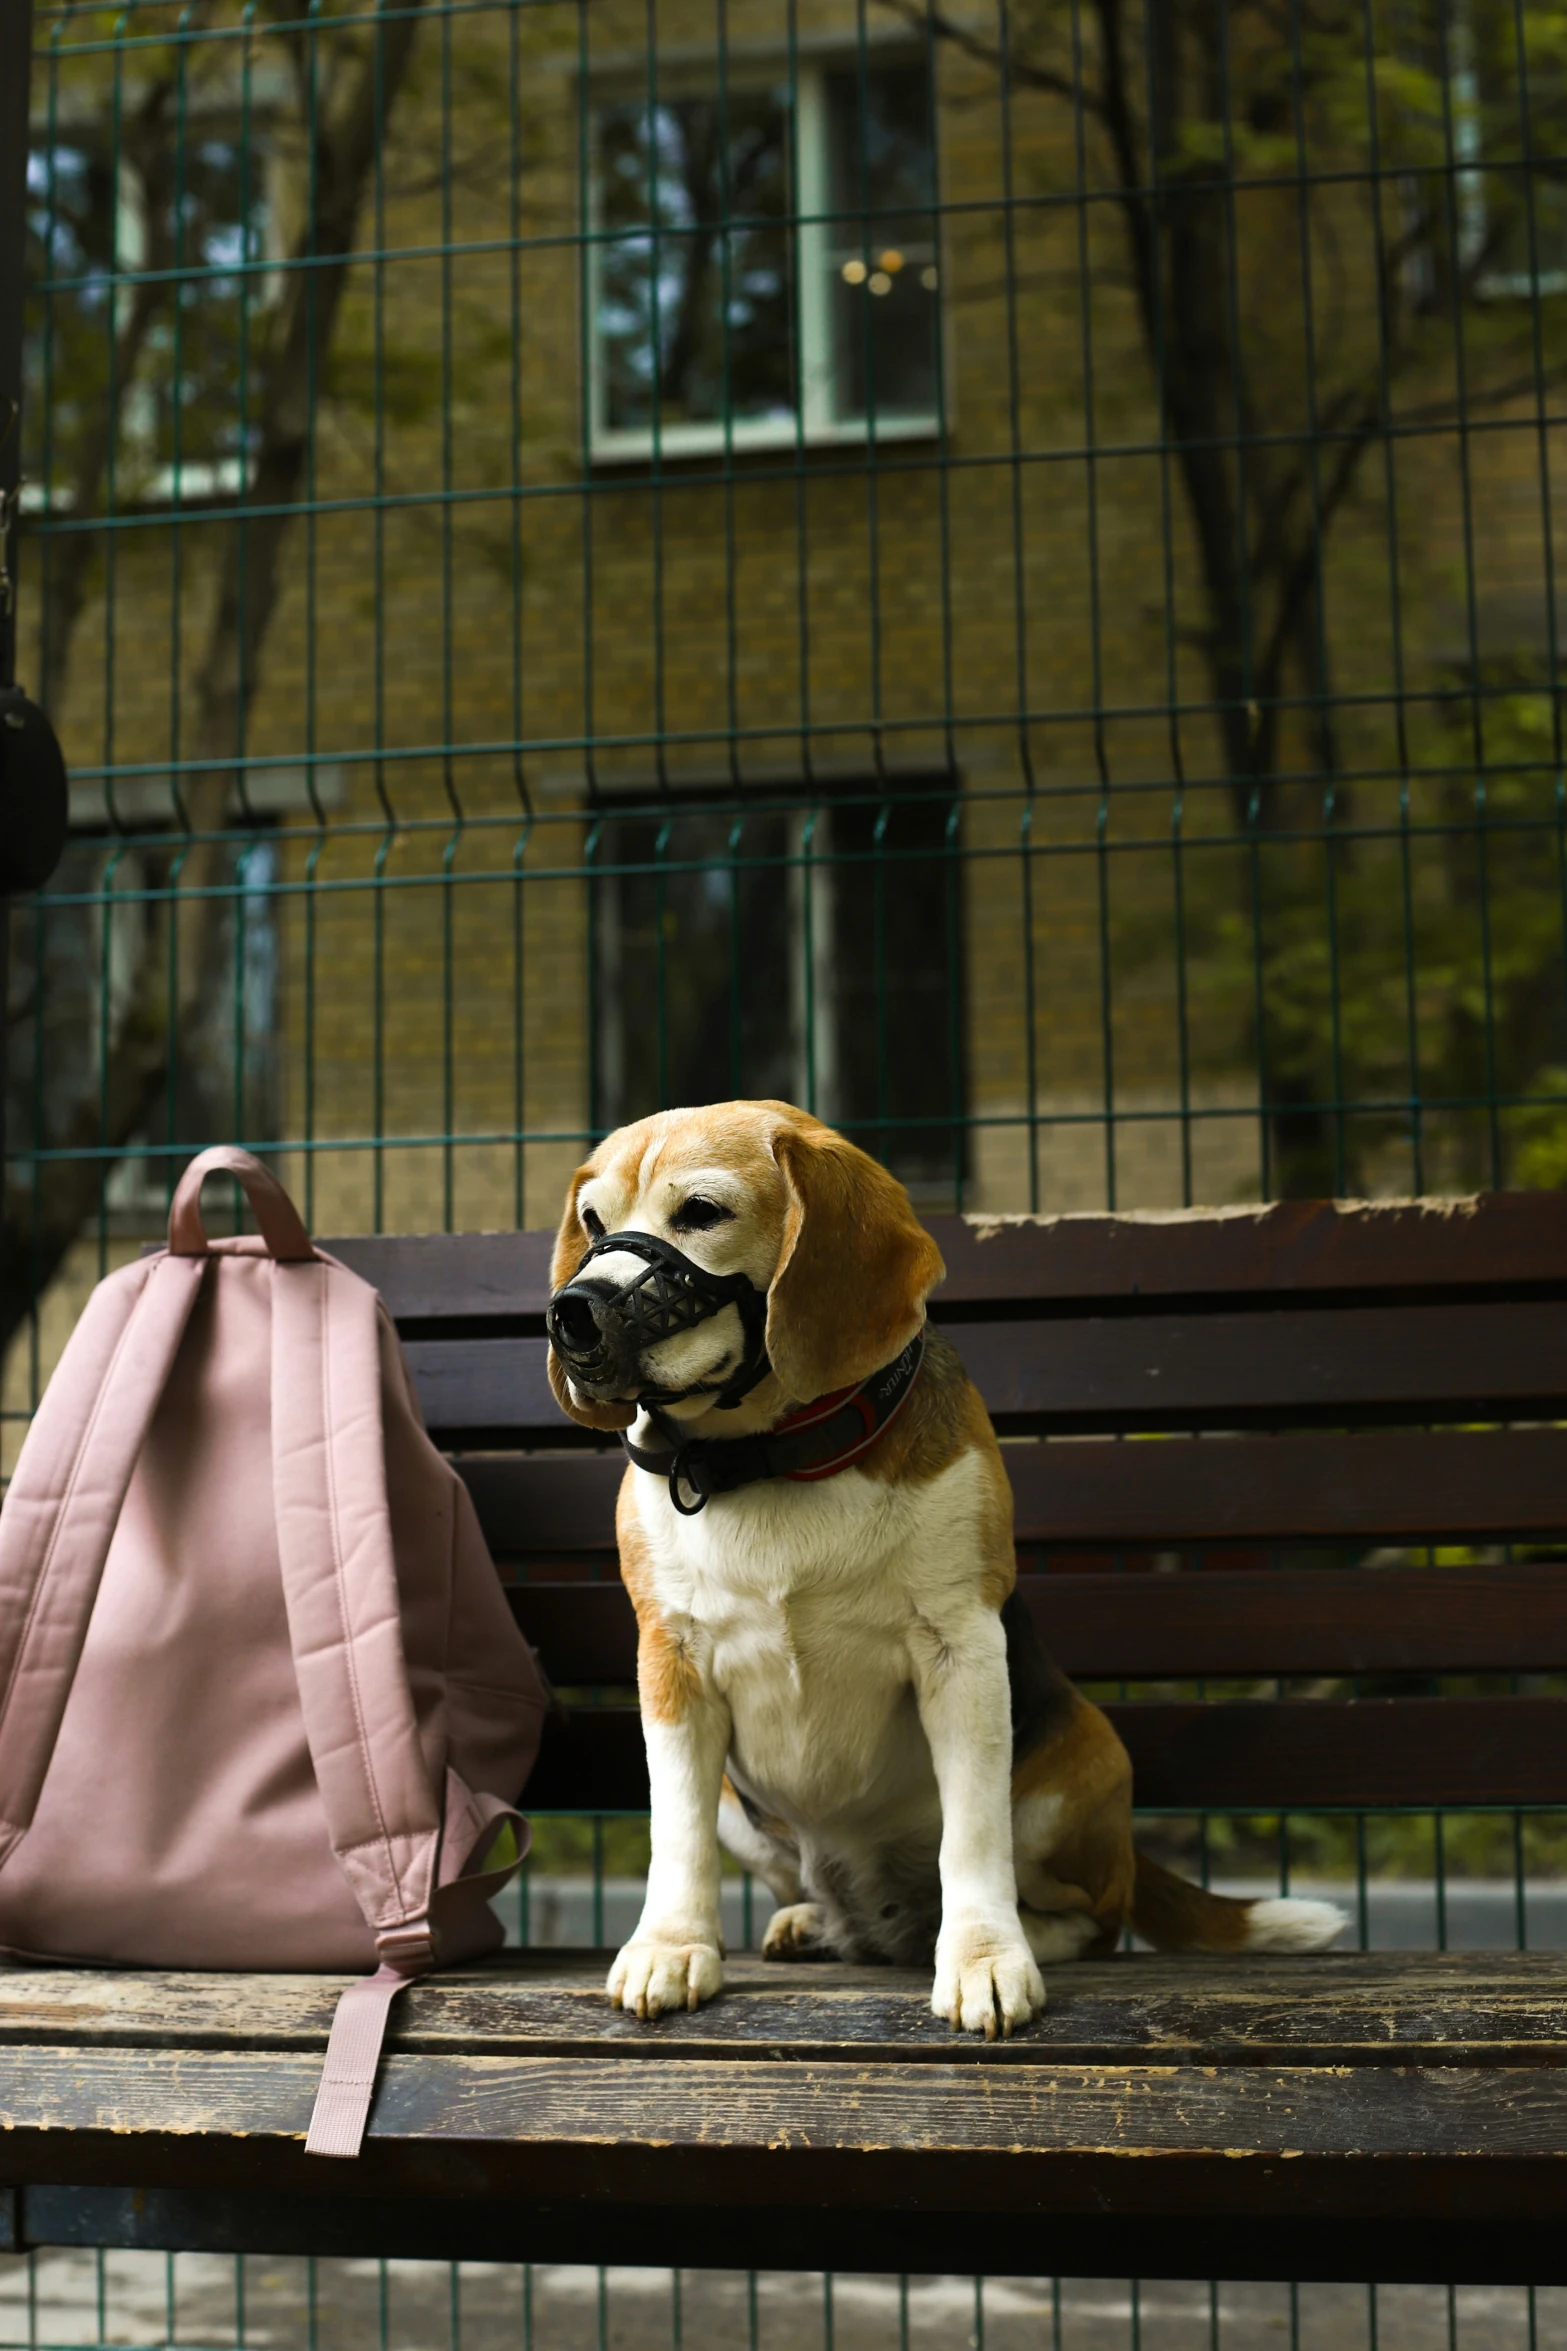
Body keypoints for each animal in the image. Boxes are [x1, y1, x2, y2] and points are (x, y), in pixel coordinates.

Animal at [545, 1100, 1343, 2040]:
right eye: (593, 1221)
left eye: (701, 1211)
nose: (571, 1314)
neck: (776, 1457)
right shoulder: (671, 1663)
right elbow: (676, 1829)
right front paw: (670, 1945)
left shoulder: (960, 1649)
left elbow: (972, 1833)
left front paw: (984, 1959)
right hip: (749, 1815)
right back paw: (813, 1920)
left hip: (1082, 1765)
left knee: (1093, 1916)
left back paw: (1013, 1932)